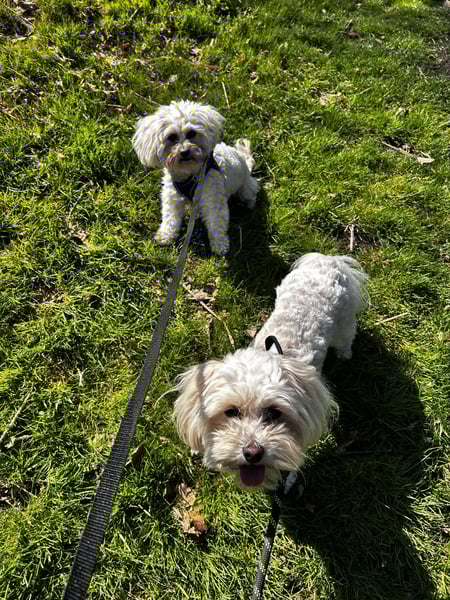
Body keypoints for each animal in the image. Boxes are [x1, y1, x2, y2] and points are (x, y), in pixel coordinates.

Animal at [132, 100, 259, 256]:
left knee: (251, 194)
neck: (190, 175)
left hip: (245, 188)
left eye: (192, 133)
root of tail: (245, 161)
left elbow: (216, 223)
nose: (184, 152)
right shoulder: (172, 199)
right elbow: (170, 219)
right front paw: (166, 235)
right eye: (171, 137)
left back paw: (248, 204)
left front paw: (220, 245)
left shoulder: (213, 201)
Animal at [173, 253, 368, 489]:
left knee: (347, 337)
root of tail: (329, 260)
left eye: (274, 413)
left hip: (344, 321)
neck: (275, 351)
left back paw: (345, 354)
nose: (252, 452)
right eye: (230, 411)